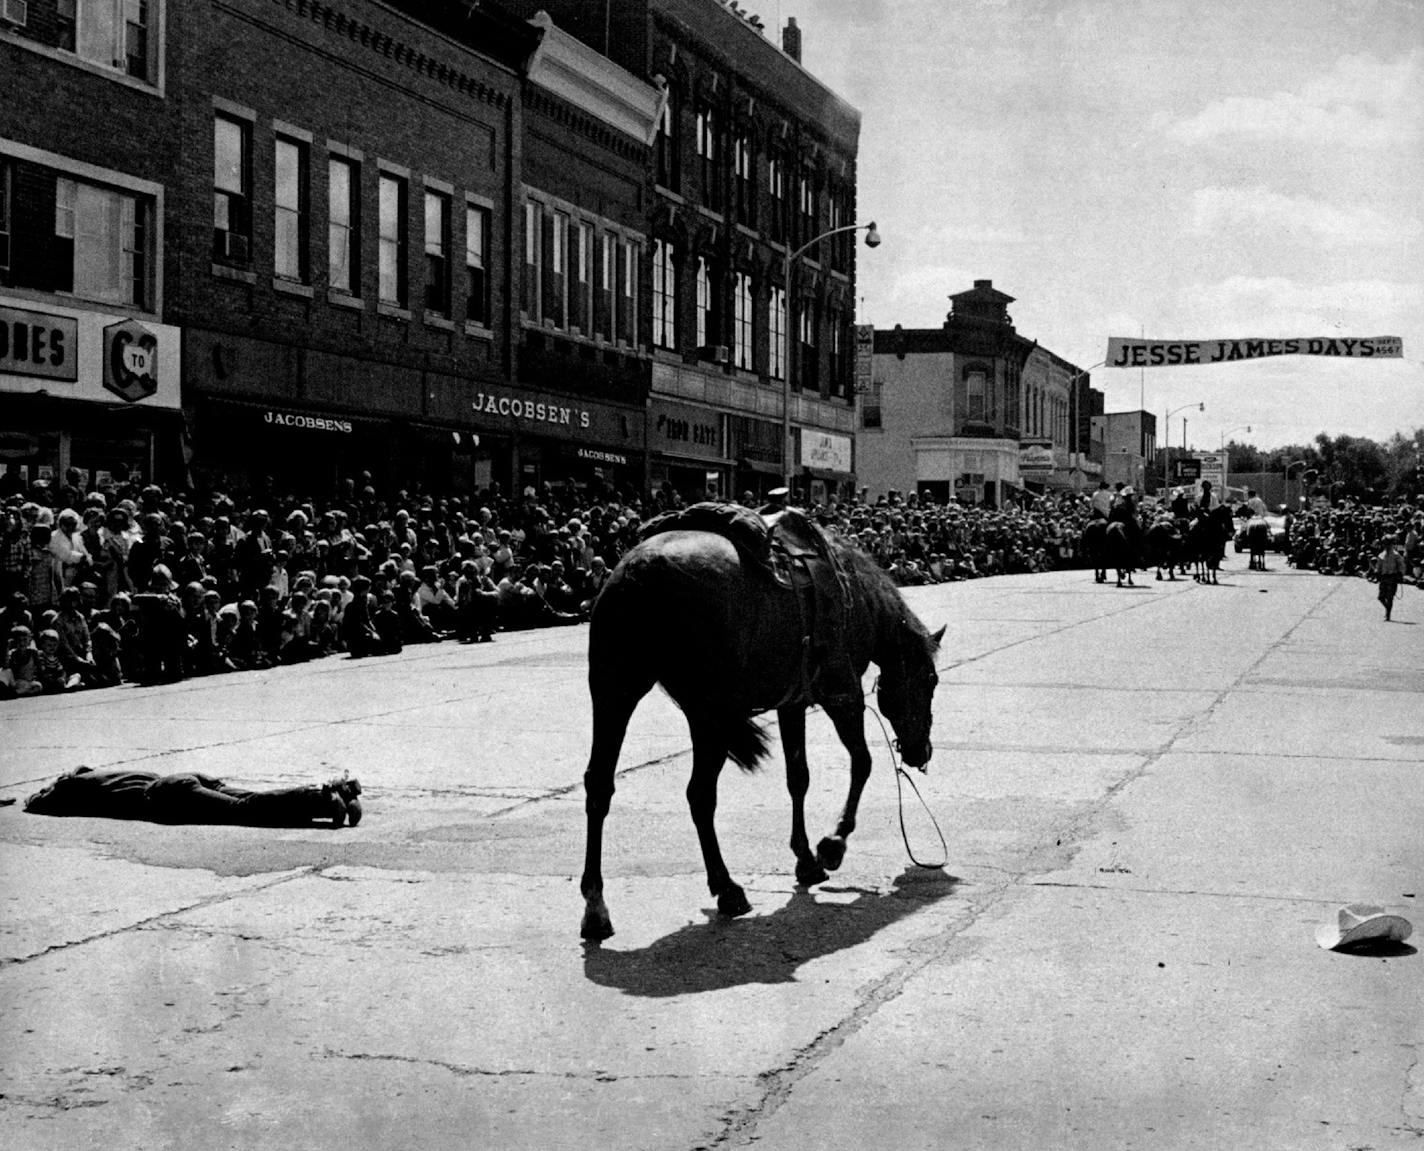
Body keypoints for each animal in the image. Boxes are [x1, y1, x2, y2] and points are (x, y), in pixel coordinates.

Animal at [578, 507, 945, 940]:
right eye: (931, 680)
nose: (922, 751)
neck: (857, 597)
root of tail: (640, 570)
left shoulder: (794, 702)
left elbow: (798, 777)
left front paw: (806, 858)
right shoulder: (842, 693)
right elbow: (863, 762)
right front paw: (832, 845)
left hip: (615, 694)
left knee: (600, 785)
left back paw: (596, 906)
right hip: (708, 715)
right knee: (699, 794)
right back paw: (727, 888)